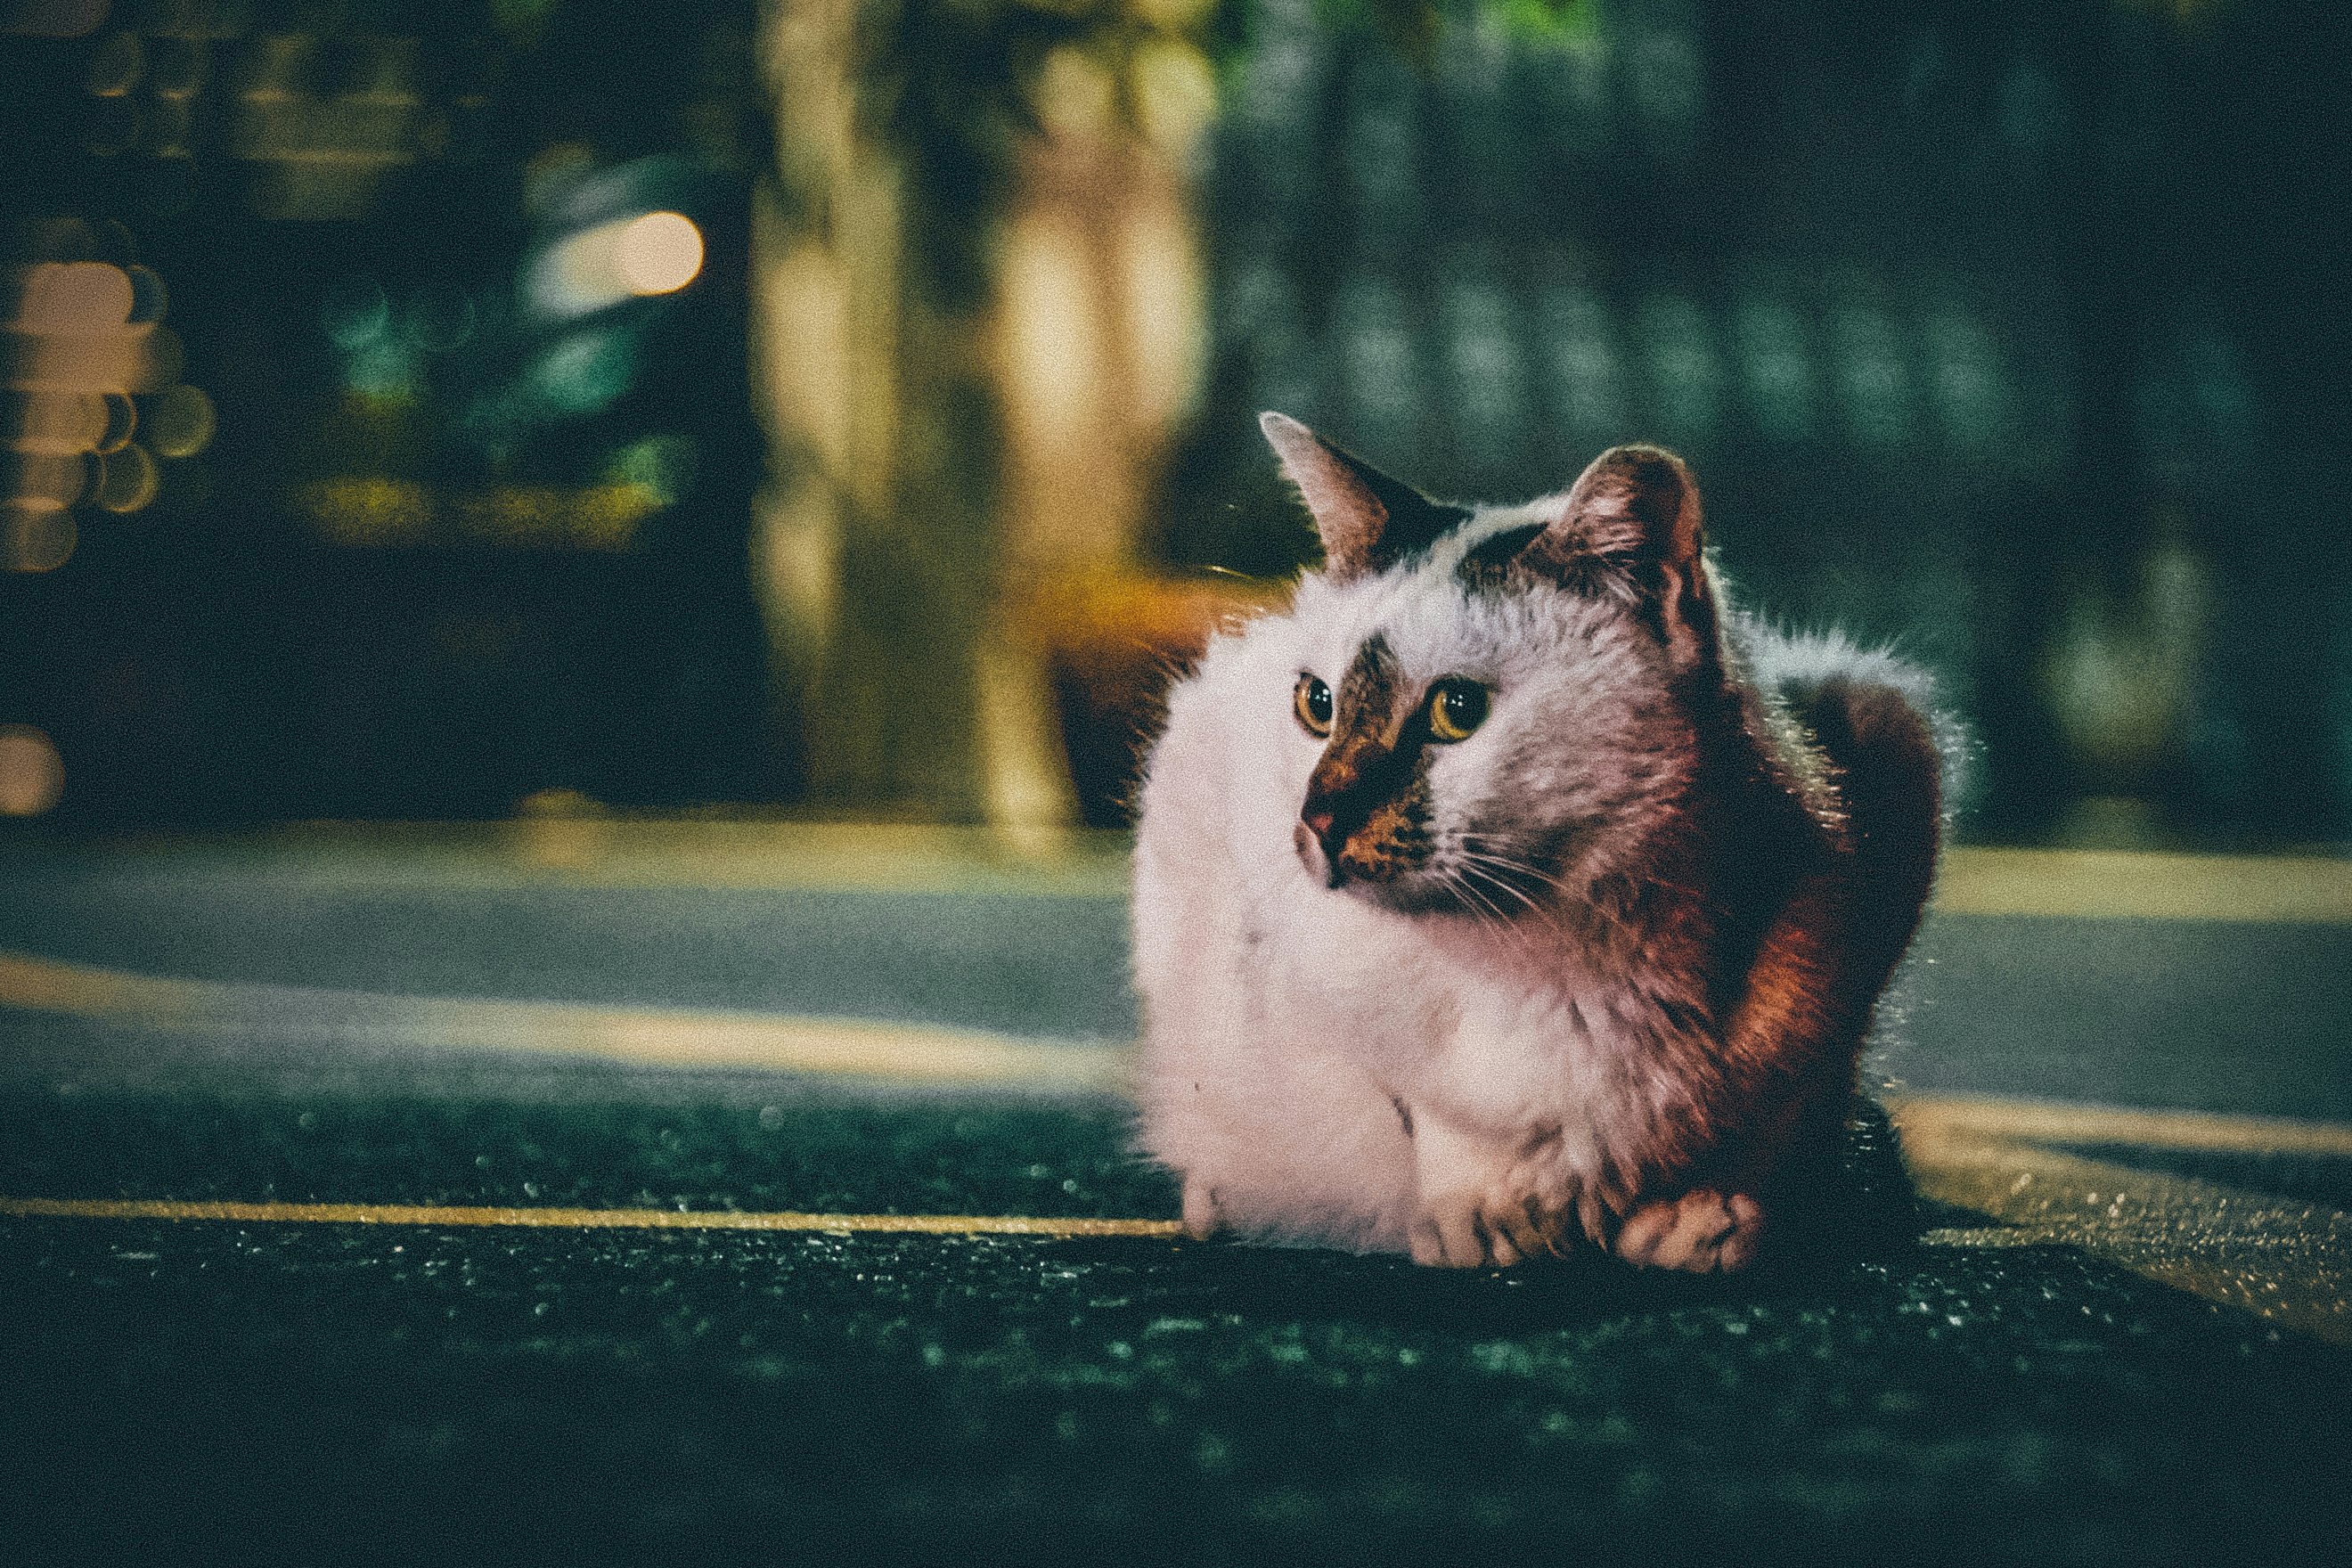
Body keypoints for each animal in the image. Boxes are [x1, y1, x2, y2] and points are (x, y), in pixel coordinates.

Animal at [1123, 411, 1947, 1269]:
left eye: (1457, 710)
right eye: (1316, 705)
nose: (1318, 821)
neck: (1566, 953)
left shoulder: (1885, 772)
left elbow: (1777, 1113)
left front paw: (1706, 1209)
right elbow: (1428, 1109)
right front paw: (1478, 1212)